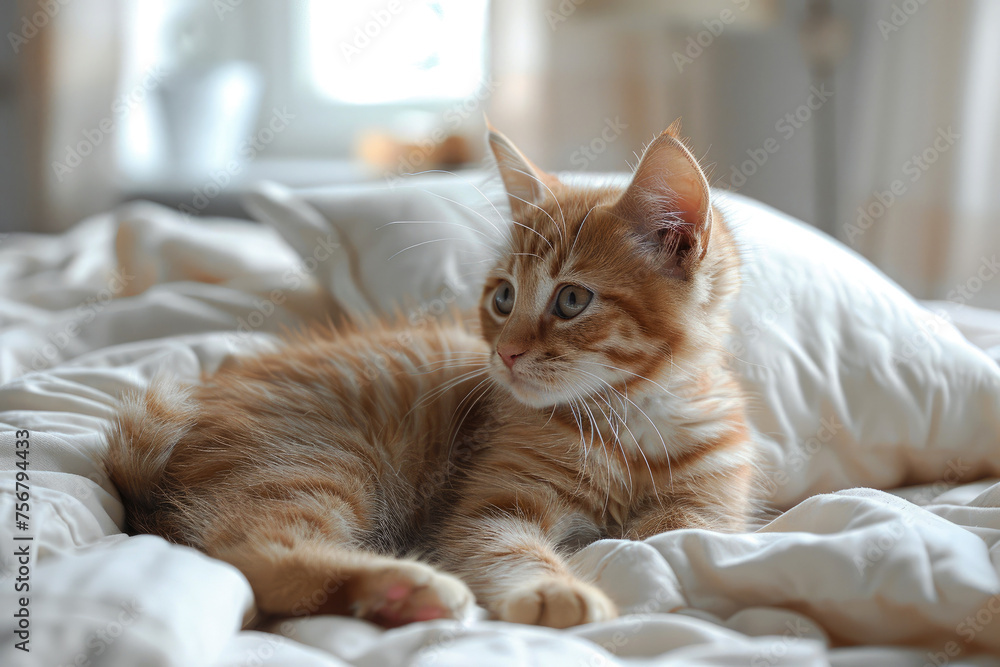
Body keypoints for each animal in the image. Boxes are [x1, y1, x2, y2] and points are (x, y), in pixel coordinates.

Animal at [105, 122, 752, 628]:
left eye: (572, 300)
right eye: (503, 298)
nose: (506, 353)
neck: (629, 418)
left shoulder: (708, 507)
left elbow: (664, 540)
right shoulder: (494, 503)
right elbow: (503, 544)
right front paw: (553, 589)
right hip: (316, 458)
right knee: (248, 547)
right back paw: (405, 587)